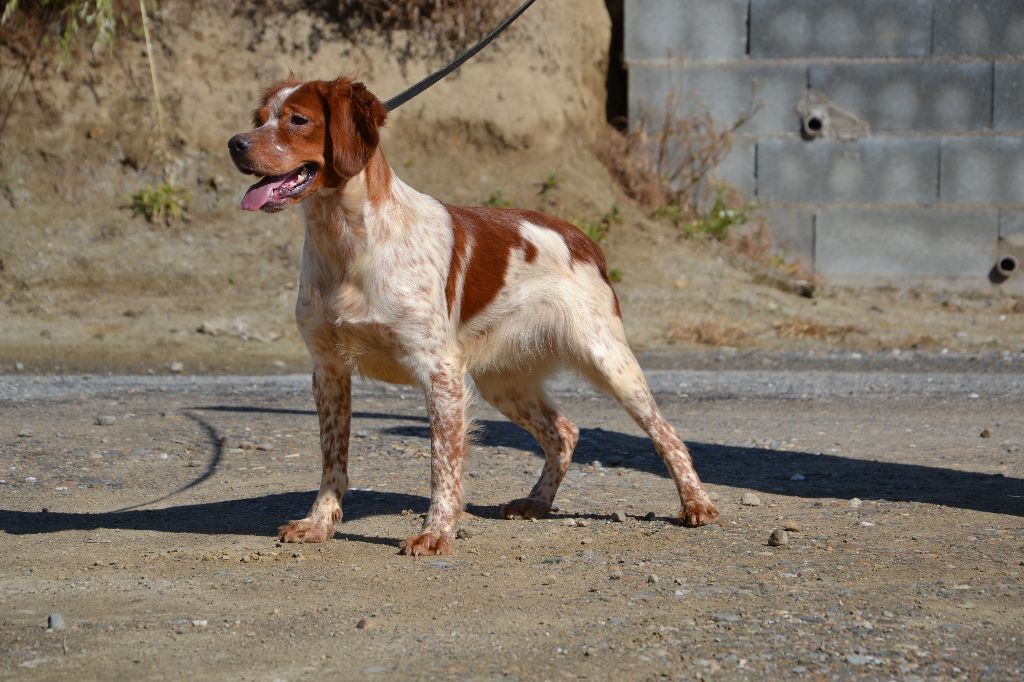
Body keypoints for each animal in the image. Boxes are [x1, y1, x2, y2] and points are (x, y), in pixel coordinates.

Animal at [228, 75, 716, 552]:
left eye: (298, 120)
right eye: (259, 118)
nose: (235, 143)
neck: (348, 241)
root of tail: (583, 239)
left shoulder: (440, 371)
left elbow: (442, 463)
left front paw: (436, 532)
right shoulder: (328, 367)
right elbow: (333, 458)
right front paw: (319, 523)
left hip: (607, 359)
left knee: (665, 432)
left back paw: (697, 504)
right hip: (502, 380)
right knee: (565, 431)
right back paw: (537, 502)